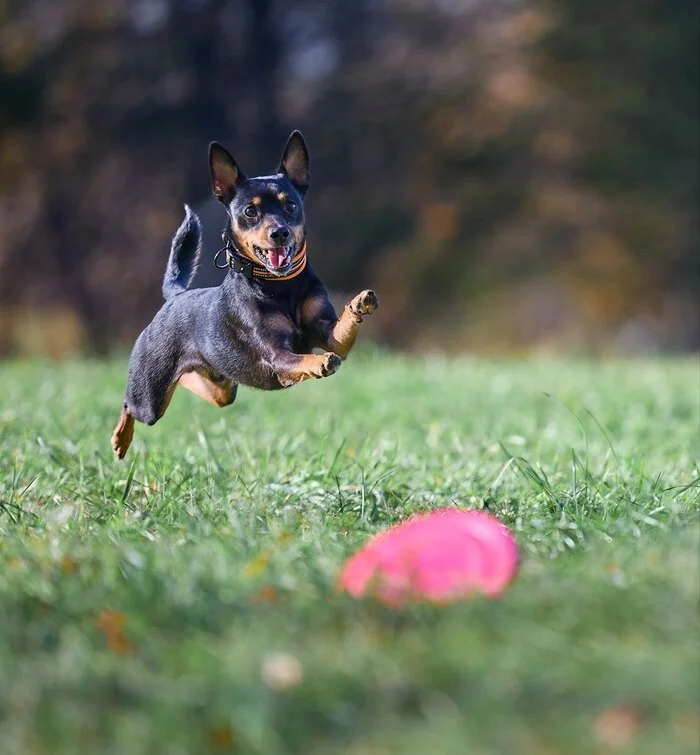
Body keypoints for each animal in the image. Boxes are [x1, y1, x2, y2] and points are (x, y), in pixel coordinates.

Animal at [112, 132, 380, 458]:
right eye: (250, 212)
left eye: (291, 206)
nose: (279, 232)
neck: (279, 285)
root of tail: (174, 297)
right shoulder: (277, 357)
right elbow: (303, 360)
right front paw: (319, 363)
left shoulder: (330, 335)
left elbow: (340, 331)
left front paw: (358, 304)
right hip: (150, 397)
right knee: (131, 403)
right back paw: (120, 439)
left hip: (223, 386)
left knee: (197, 384)